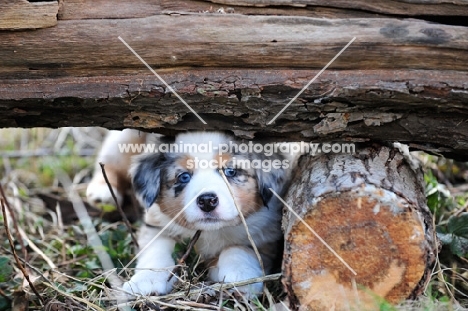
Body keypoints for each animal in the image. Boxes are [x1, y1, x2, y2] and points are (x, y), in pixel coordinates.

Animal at [86, 130, 294, 298]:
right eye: (184, 176)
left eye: (230, 171)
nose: (207, 200)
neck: (211, 231)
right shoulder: (155, 224)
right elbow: (157, 250)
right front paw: (147, 280)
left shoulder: (265, 233)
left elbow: (239, 247)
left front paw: (241, 276)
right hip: (121, 140)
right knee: (109, 164)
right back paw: (101, 192)